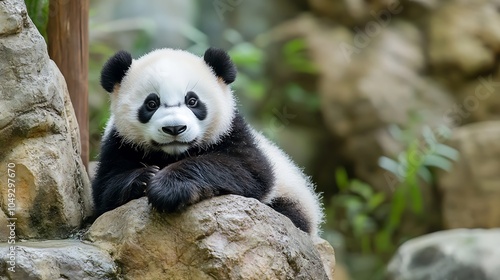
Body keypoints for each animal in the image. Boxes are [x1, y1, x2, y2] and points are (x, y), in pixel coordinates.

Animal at [91, 47, 322, 235]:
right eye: (151, 103)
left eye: (192, 101)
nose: (174, 128)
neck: (173, 154)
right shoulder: (119, 142)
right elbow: (105, 189)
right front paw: (145, 177)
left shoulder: (232, 131)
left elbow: (247, 170)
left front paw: (168, 188)